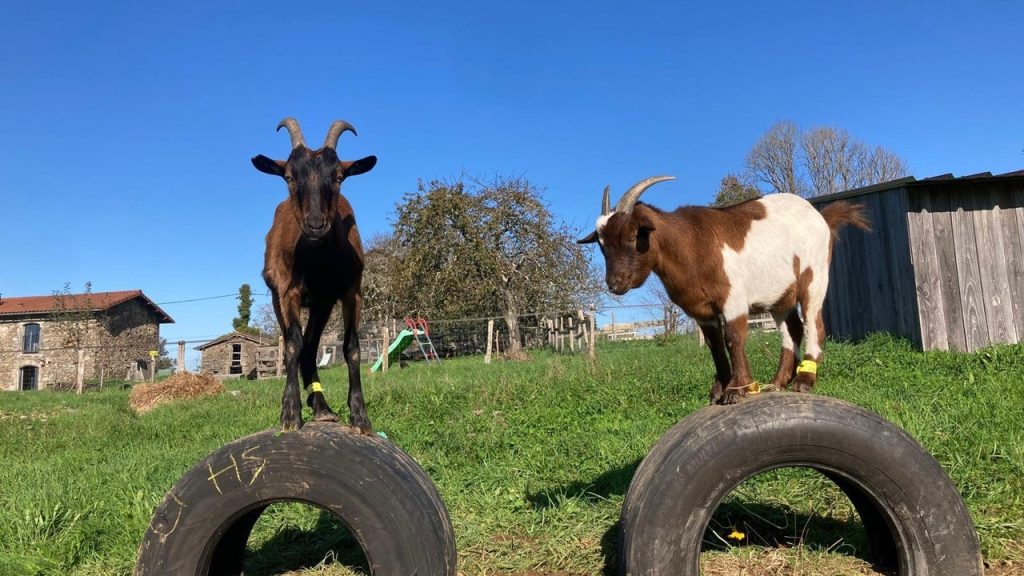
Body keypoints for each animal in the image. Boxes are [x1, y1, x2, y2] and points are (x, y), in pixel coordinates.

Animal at [249, 117, 378, 430]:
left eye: (339, 177)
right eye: (288, 176)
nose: (316, 224)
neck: (319, 263)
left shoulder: (351, 292)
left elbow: (352, 348)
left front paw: (360, 416)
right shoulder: (288, 291)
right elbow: (291, 346)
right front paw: (290, 414)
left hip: (322, 305)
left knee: (310, 348)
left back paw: (321, 407)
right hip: (280, 297)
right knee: (297, 345)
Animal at [581, 175, 868, 403]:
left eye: (632, 237)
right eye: (602, 245)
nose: (615, 283)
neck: (691, 246)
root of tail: (822, 217)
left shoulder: (733, 299)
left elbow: (734, 337)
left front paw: (737, 388)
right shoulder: (701, 310)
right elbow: (714, 344)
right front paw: (719, 389)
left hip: (814, 276)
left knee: (813, 323)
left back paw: (804, 380)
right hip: (780, 296)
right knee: (792, 329)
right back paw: (777, 382)